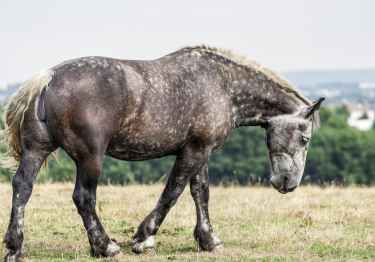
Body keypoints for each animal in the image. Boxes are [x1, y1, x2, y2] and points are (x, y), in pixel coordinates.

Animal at [0, 45, 324, 260]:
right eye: (305, 138)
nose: (287, 183)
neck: (224, 85)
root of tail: (50, 77)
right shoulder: (193, 153)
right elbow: (173, 191)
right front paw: (145, 237)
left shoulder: (202, 151)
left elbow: (200, 193)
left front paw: (208, 240)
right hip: (90, 157)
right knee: (84, 198)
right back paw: (105, 246)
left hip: (36, 150)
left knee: (22, 188)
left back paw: (16, 247)